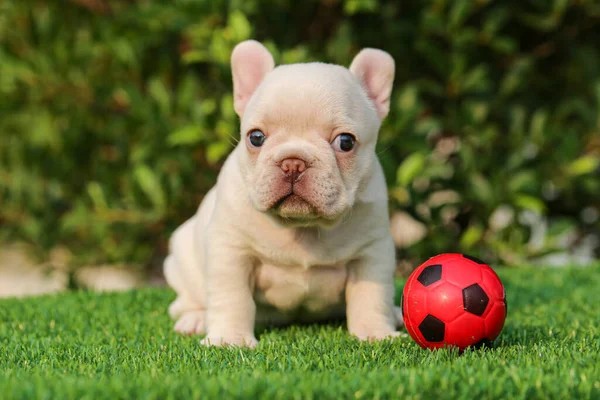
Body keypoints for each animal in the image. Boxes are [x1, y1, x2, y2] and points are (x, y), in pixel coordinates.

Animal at [163, 40, 404, 346]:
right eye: (256, 137)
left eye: (345, 142)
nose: (293, 162)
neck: (301, 227)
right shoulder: (231, 251)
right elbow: (232, 297)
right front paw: (229, 339)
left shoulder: (372, 253)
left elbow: (371, 297)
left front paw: (376, 333)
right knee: (182, 302)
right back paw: (195, 319)